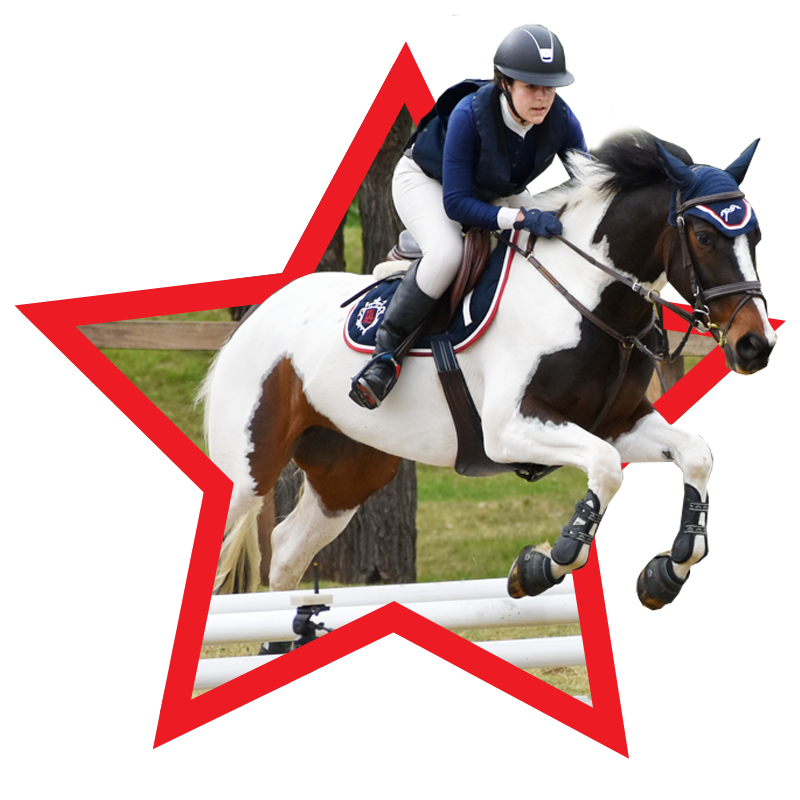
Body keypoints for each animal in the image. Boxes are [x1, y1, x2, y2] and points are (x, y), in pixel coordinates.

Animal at [199, 134, 775, 609]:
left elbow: (695, 455)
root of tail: (255, 318)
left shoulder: (621, 422)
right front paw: (542, 565)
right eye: (704, 237)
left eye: (753, 235)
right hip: (247, 471)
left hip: (347, 470)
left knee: (288, 550)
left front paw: (669, 569)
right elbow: (606, 467)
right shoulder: (508, 429)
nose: (755, 345)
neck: (587, 300)